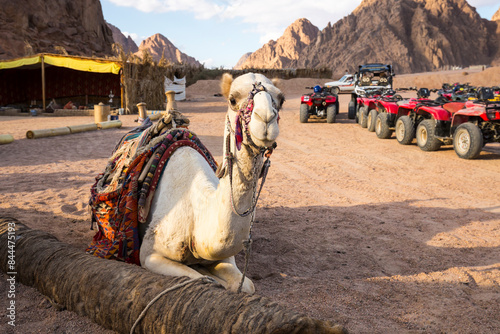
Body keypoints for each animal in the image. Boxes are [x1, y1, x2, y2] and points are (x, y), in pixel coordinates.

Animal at [139, 72, 286, 292]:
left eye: (281, 99)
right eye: (232, 99)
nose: (265, 119)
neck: (196, 216)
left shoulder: (226, 257)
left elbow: (246, 285)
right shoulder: (149, 254)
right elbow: (201, 278)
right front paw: (208, 276)